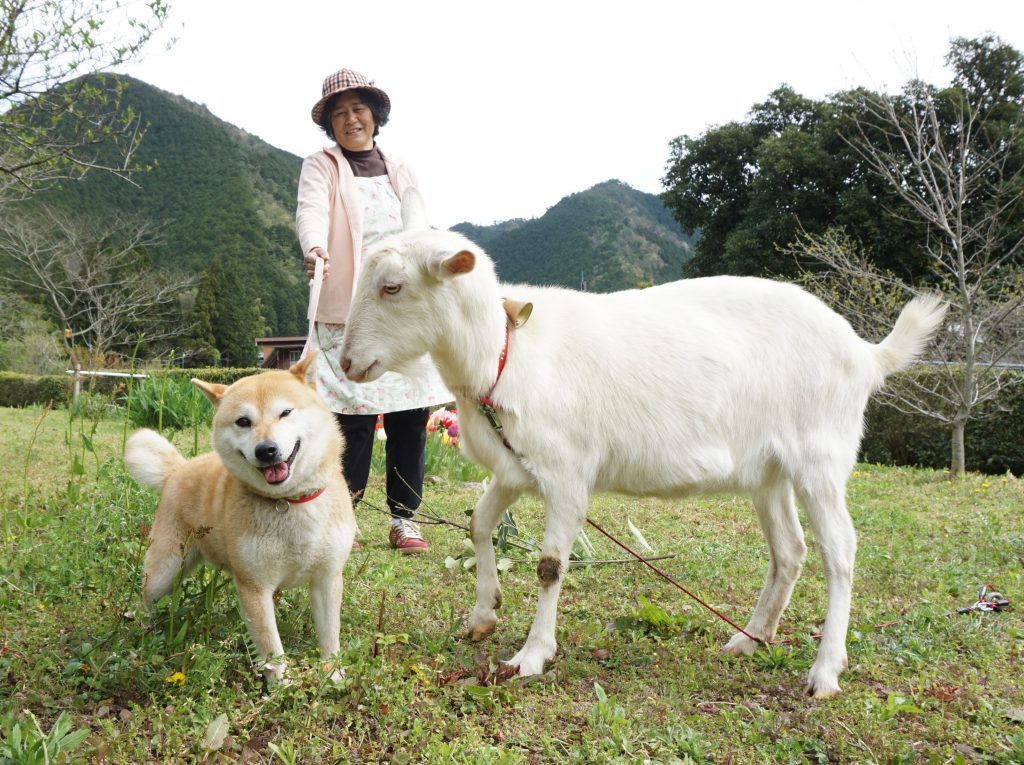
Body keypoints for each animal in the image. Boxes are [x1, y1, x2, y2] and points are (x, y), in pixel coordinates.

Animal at [123, 356, 354, 684]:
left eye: (285, 412)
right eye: (243, 421)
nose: (266, 450)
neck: (288, 502)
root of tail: (177, 470)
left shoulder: (327, 578)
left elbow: (330, 638)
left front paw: (333, 677)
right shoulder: (254, 587)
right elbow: (272, 650)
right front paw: (282, 688)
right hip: (165, 572)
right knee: (147, 597)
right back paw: (145, 632)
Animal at [339, 215, 946, 700]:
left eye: (392, 287)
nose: (346, 362)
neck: (505, 352)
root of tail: (864, 353)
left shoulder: (567, 473)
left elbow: (550, 565)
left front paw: (531, 655)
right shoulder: (515, 468)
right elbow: (479, 525)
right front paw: (483, 615)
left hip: (820, 454)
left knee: (839, 550)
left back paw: (824, 672)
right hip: (768, 471)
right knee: (789, 551)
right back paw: (749, 639)